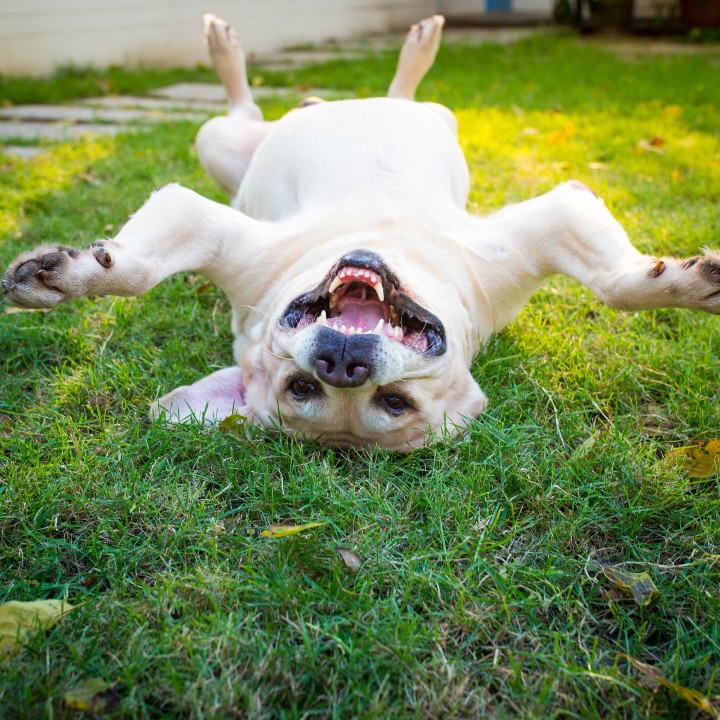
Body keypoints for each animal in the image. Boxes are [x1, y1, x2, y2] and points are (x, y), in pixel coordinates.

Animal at [1, 15, 720, 450]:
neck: (383, 238)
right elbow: (134, 269)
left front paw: (685, 284)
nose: (341, 364)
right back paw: (227, 46)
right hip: (218, 140)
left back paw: (414, 48)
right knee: (241, 102)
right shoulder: (215, 233)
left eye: (394, 403)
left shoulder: (540, 233)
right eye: (302, 389)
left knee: (395, 94)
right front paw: (68, 277)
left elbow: (617, 284)